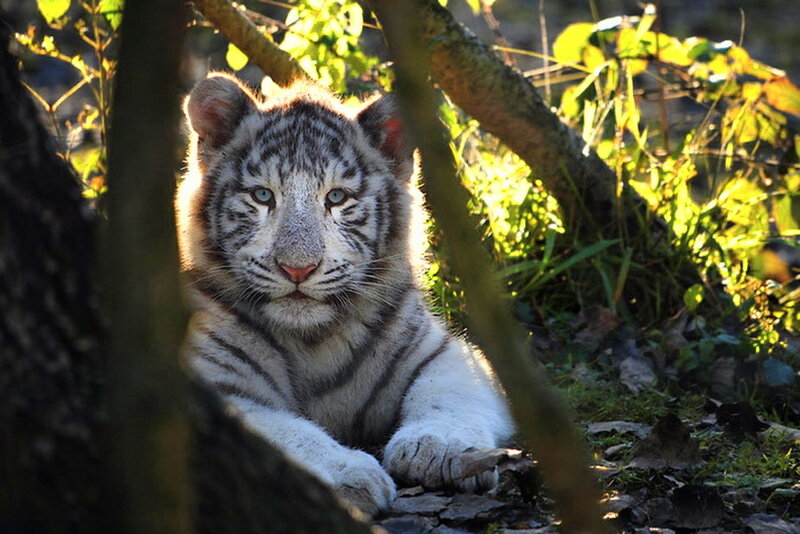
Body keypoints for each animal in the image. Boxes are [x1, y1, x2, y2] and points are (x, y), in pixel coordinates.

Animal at [177, 72, 513, 515]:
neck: (312, 340)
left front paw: (438, 448)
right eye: (262, 195)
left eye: (336, 197)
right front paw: (350, 473)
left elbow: (448, 395)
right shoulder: (216, 383)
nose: (297, 268)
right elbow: (288, 432)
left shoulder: (441, 353)